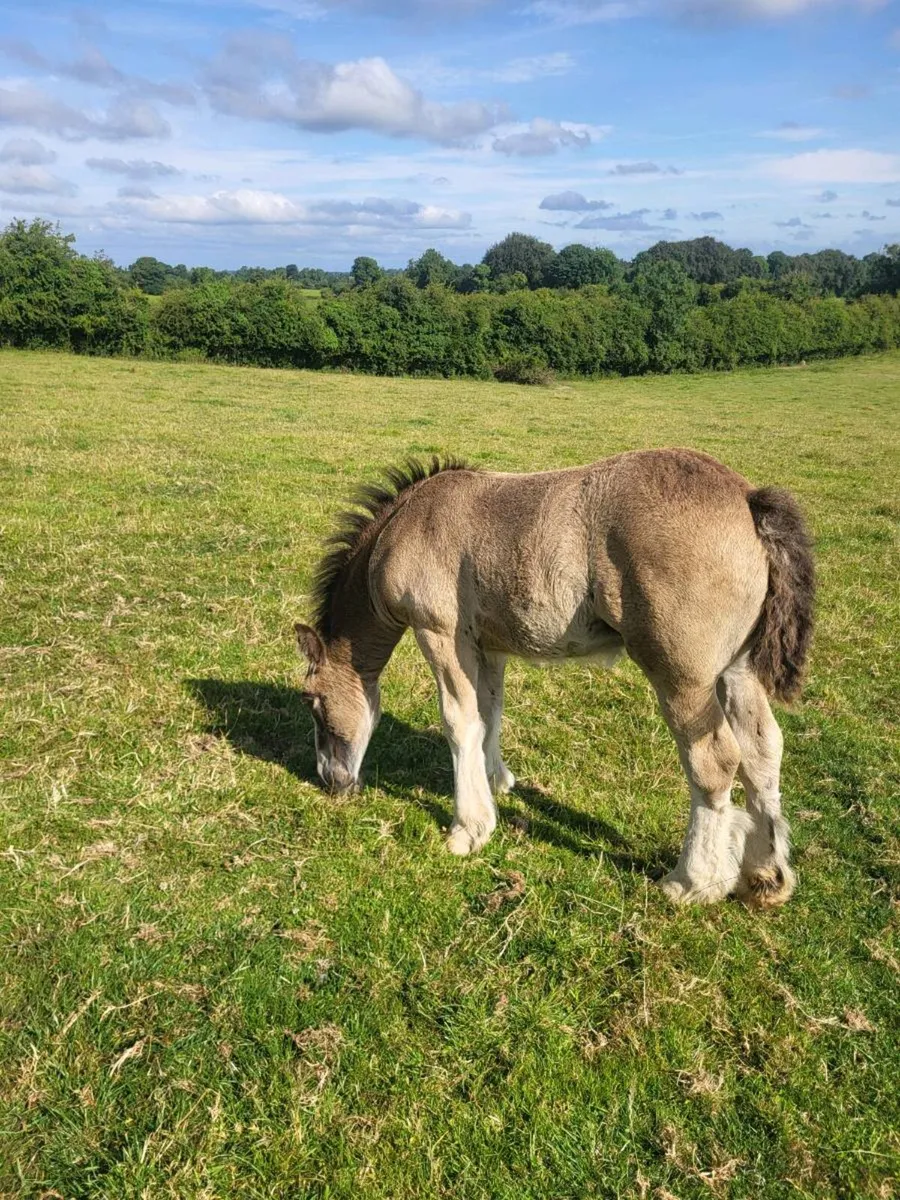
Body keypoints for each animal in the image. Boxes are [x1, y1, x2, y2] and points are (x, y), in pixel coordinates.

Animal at [294, 450, 814, 908]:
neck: (407, 523)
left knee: (715, 760)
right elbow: (488, 713)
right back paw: (765, 876)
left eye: (312, 701)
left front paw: (468, 830)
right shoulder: (487, 644)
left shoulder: (438, 632)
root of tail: (747, 498)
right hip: (736, 669)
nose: (330, 780)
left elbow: (459, 722)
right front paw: (496, 780)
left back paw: (691, 882)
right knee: (762, 749)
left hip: (682, 676)